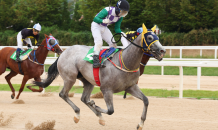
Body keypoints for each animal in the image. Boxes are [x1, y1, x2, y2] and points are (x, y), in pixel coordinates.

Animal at [34, 24, 166, 129]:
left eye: (157, 37)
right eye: (149, 38)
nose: (162, 51)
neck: (125, 62)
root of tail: (64, 52)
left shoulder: (131, 87)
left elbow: (146, 100)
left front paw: (140, 124)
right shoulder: (106, 89)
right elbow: (111, 110)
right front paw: (95, 105)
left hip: (87, 81)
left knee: (84, 98)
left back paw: (99, 117)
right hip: (70, 78)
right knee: (63, 94)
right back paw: (78, 114)